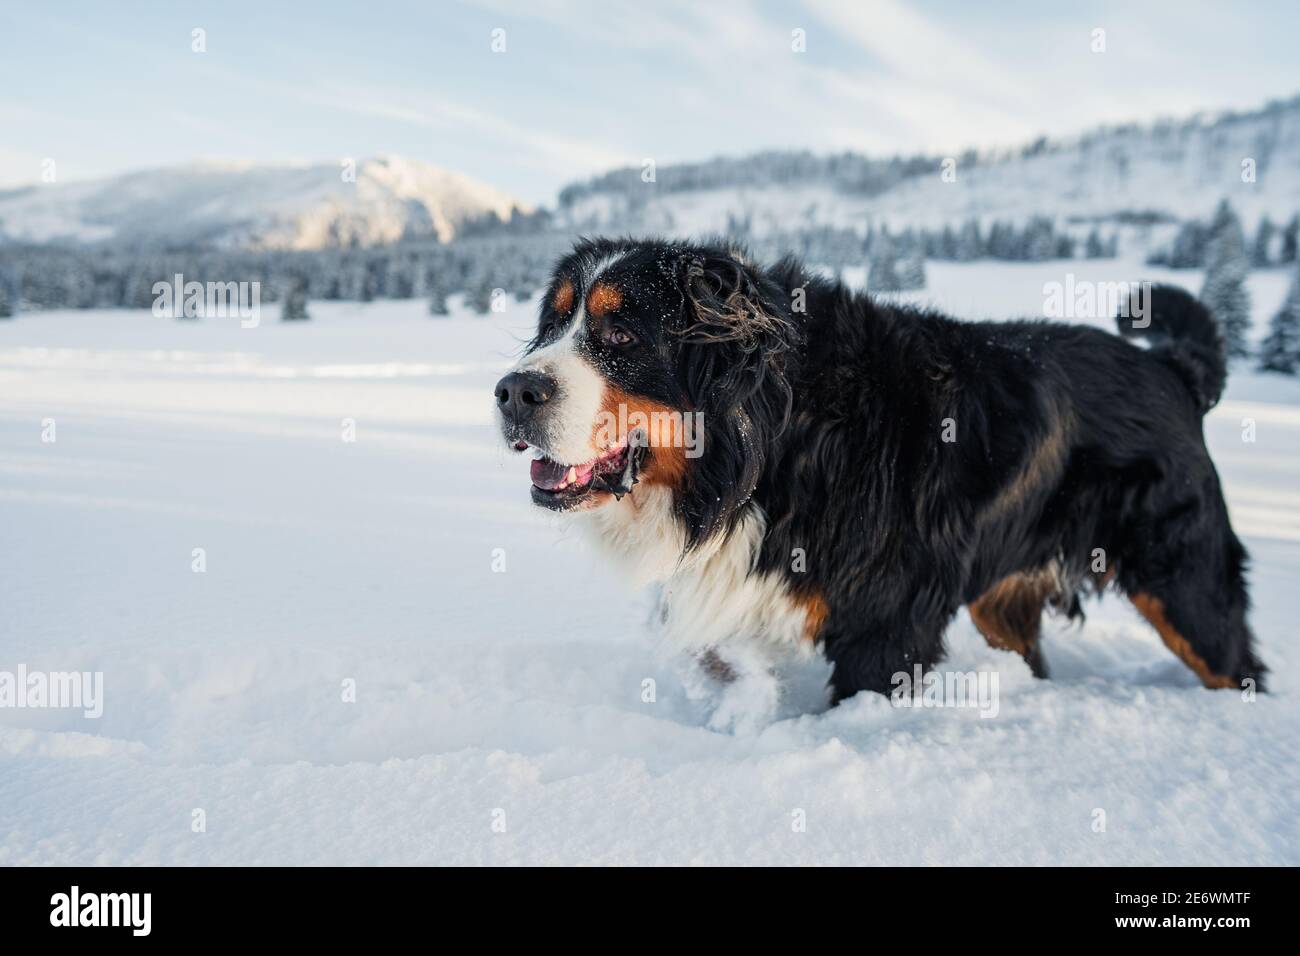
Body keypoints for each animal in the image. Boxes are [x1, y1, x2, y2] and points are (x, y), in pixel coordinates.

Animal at [493, 236, 1268, 707]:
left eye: (622, 335)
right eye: (552, 327)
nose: (511, 392)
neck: (777, 443)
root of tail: (1173, 368)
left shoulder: (888, 621)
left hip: (1184, 582)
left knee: (1234, 662)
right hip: (1003, 599)